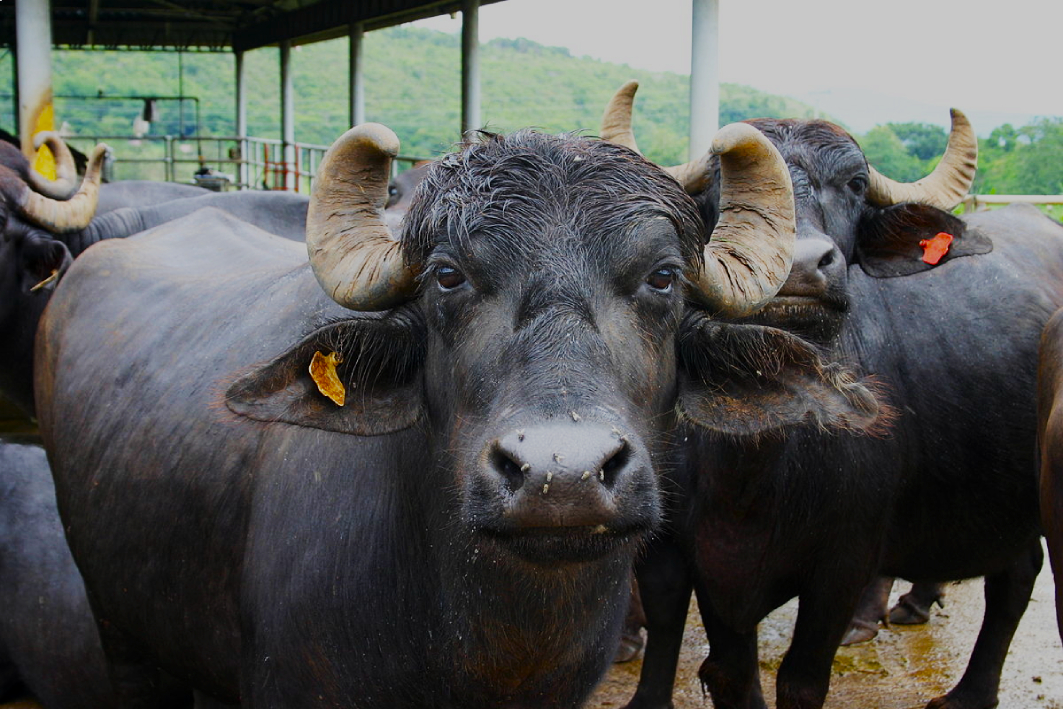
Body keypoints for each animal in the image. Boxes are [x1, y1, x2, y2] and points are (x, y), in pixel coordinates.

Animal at [605, 82, 1063, 709]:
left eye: (854, 184)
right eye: (724, 184)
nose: (800, 266)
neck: (756, 461)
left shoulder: (844, 564)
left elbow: (800, 680)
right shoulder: (693, 560)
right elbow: (728, 671)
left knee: (1016, 577)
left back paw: (963, 688)